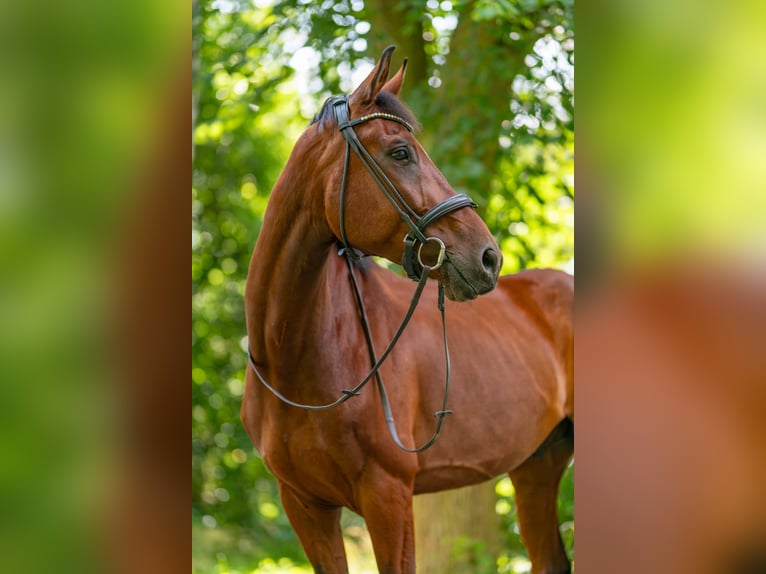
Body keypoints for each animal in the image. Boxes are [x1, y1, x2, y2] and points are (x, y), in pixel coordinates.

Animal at [241, 46, 574, 574]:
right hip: (536, 465)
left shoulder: (389, 496)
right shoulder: (304, 504)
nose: (489, 257)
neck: (298, 359)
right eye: (401, 152)